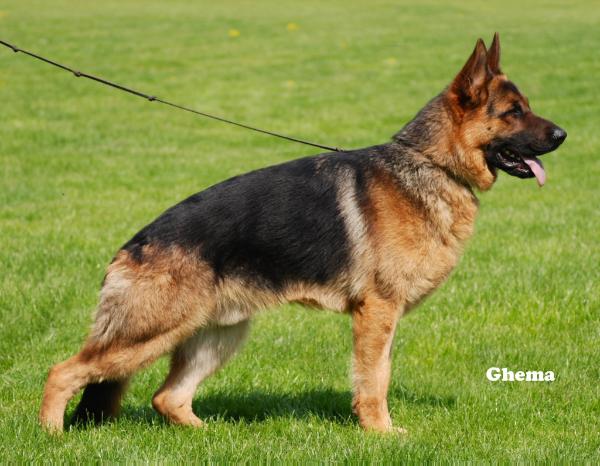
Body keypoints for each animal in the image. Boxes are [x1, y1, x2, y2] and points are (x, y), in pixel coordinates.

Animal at [40, 33, 566, 433]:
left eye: (526, 108)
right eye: (513, 112)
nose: (564, 135)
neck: (430, 163)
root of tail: (130, 247)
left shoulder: (384, 317)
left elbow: (379, 374)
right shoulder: (377, 313)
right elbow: (374, 379)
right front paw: (381, 434)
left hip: (219, 333)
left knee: (167, 397)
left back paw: (211, 435)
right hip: (149, 332)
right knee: (63, 371)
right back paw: (51, 435)